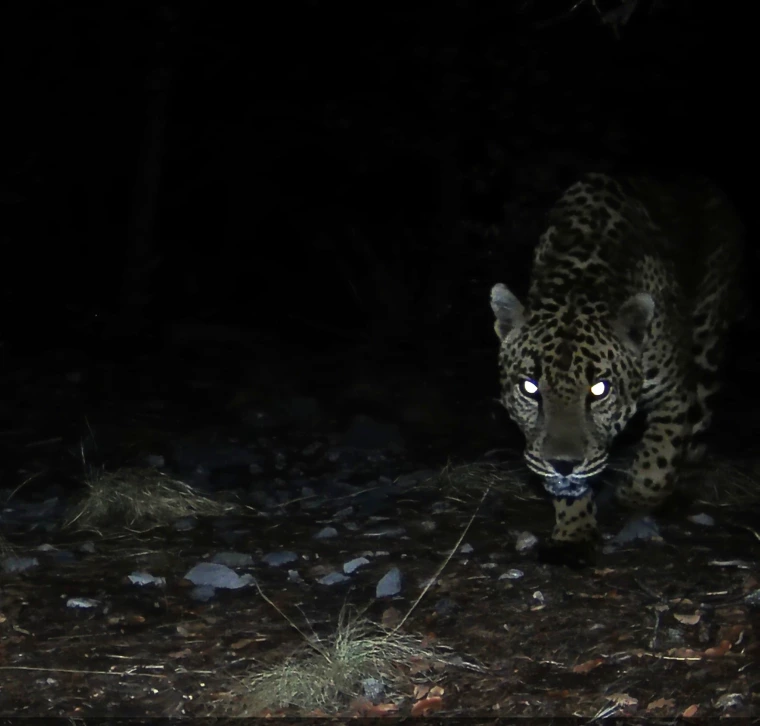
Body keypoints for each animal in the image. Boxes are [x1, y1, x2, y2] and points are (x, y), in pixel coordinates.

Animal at [490, 172, 744, 545]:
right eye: (530, 388)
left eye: (599, 390)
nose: (562, 464)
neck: (577, 285)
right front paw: (574, 528)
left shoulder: (674, 393)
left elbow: (659, 455)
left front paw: (636, 498)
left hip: (708, 338)